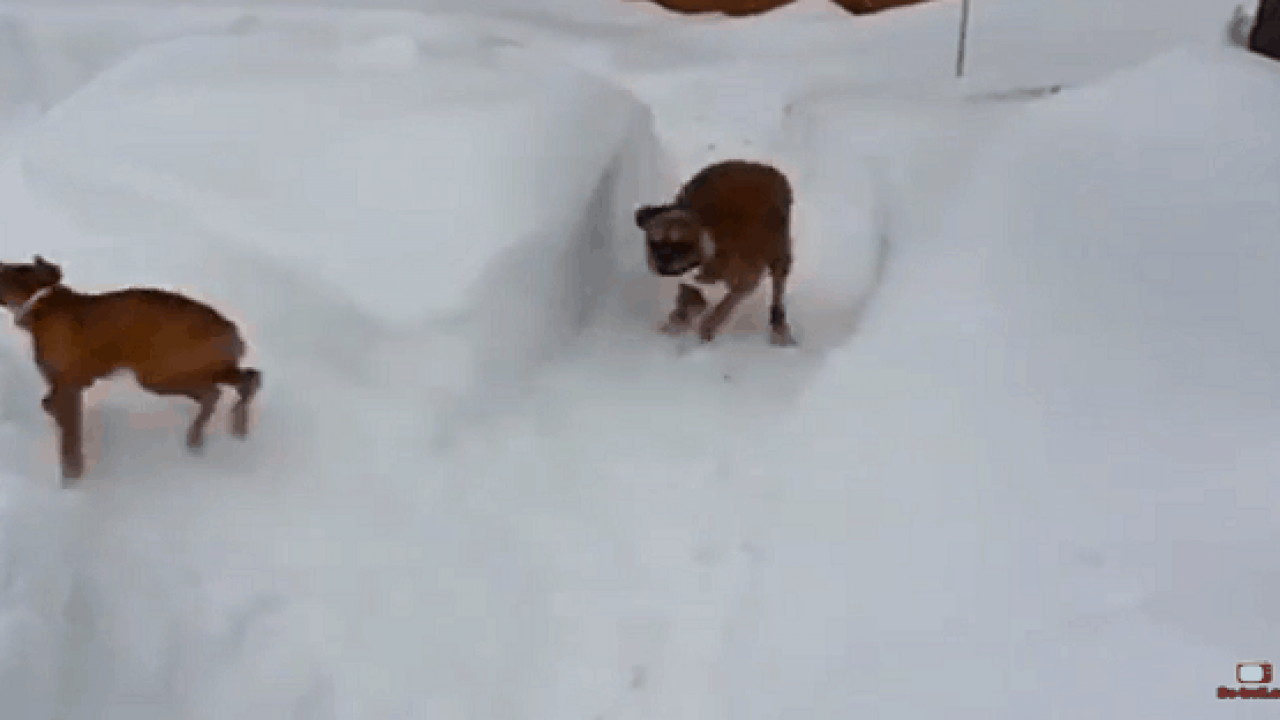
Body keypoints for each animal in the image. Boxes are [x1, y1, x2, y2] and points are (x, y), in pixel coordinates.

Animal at [0, 252, 262, 481]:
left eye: (11, 269)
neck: (41, 303)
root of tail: (232, 332)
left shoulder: (69, 388)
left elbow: (70, 441)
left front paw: (72, 476)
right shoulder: (66, 384)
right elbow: (49, 404)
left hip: (161, 375)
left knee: (227, 386)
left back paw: (219, 429)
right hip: (181, 372)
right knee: (236, 383)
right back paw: (219, 429)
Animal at [634, 157, 793, 348]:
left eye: (683, 245)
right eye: (654, 243)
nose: (662, 262)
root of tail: (767, 168)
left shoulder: (745, 280)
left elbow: (724, 305)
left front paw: (708, 326)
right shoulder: (689, 282)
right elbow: (689, 300)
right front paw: (680, 320)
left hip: (779, 255)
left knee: (777, 292)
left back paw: (779, 326)